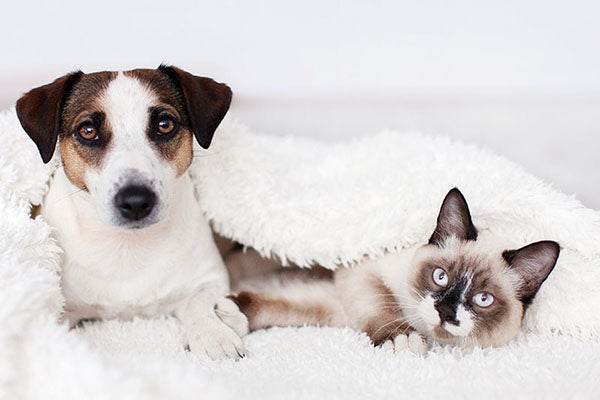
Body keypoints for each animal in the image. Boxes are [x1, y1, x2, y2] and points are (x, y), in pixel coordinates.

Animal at [15, 65, 248, 360]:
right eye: (88, 130)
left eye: (165, 125)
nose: (136, 200)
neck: (127, 246)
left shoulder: (211, 277)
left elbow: (198, 302)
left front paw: (213, 334)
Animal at [225, 188, 556, 354]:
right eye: (440, 277)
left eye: (483, 299)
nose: (446, 312)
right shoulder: (360, 276)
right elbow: (383, 309)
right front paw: (402, 340)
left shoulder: (337, 309)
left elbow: (289, 307)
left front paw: (231, 315)